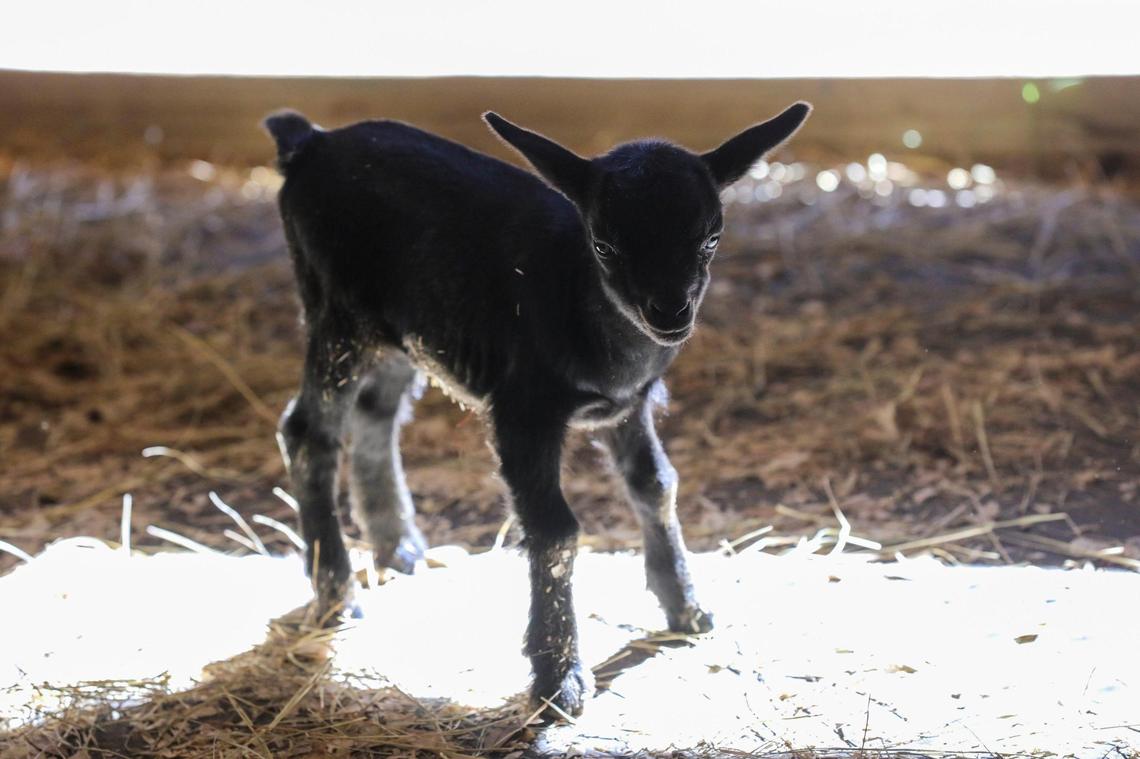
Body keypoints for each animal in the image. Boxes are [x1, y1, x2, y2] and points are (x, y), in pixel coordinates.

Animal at [264, 101, 811, 716]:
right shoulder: (522, 409)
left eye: (712, 237)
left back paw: (398, 548)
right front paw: (559, 676)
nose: (668, 312)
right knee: (308, 432)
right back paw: (337, 594)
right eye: (604, 244)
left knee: (376, 416)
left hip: (402, 329)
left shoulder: (629, 405)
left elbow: (656, 484)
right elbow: (555, 529)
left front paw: (685, 607)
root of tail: (309, 141)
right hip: (337, 315)